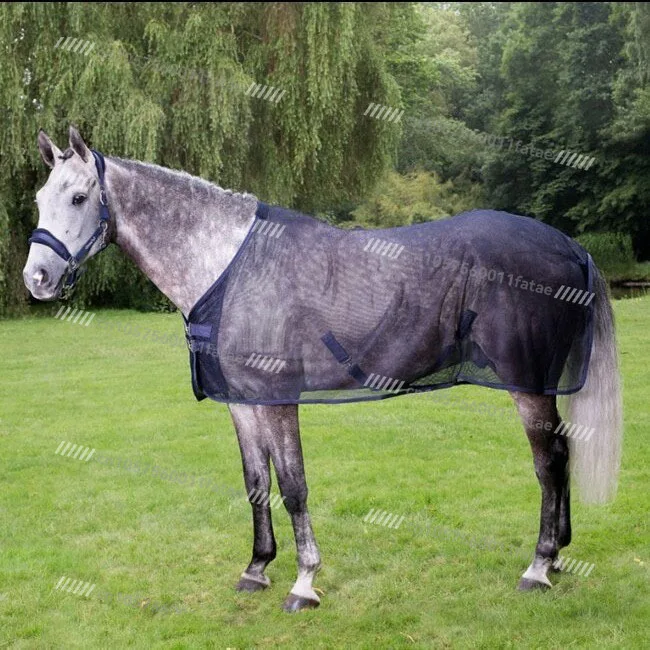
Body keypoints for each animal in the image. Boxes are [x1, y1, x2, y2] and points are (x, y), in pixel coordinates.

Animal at [23, 126, 622, 612]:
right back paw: (559, 556)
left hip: (528, 385)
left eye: (79, 197)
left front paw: (304, 583)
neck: (229, 266)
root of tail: (569, 246)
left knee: (549, 464)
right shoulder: (243, 402)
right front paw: (257, 569)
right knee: (563, 455)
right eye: (38, 199)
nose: (37, 279)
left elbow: (293, 486)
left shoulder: (278, 399)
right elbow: (256, 483)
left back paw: (538, 566)